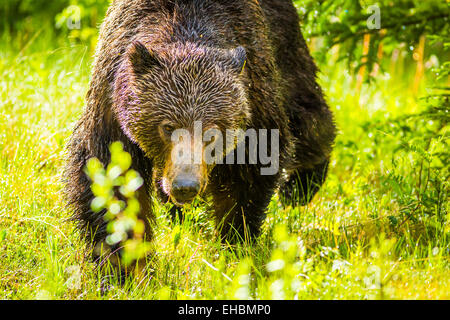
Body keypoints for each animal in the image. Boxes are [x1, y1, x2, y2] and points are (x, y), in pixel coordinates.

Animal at [65, 0, 336, 264]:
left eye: (211, 133)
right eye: (168, 127)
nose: (185, 186)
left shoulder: (254, 92)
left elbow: (249, 174)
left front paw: (233, 242)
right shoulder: (110, 103)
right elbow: (109, 176)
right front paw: (124, 261)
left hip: (284, 45)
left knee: (307, 114)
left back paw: (301, 185)